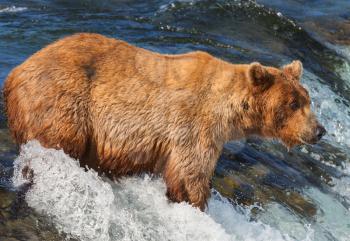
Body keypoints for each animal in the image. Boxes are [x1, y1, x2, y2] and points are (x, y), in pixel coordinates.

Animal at [2, 33, 326, 210]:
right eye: (294, 103)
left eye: (307, 99)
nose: (319, 131)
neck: (229, 110)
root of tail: (15, 74)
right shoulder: (194, 126)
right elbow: (189, 174)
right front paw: (196, 205)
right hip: (62, 102)